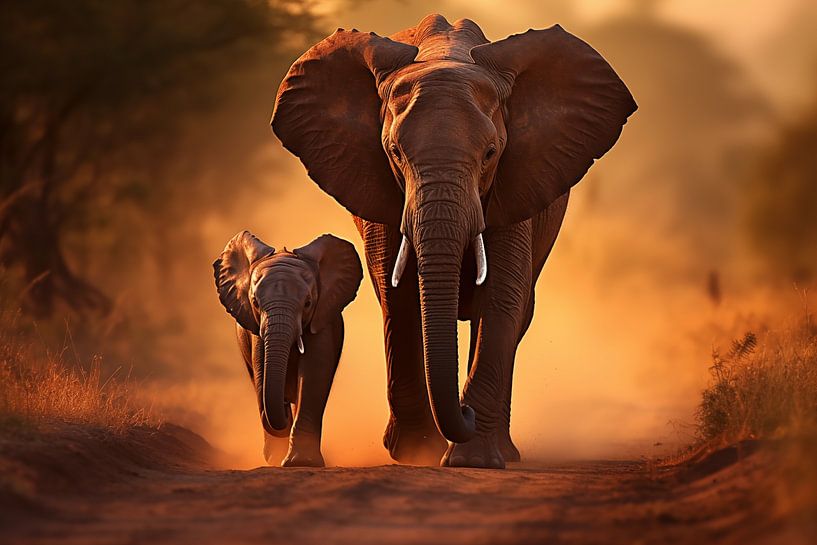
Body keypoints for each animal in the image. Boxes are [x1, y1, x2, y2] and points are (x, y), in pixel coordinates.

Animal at [213, 231, 363, 467]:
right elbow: (261, 371)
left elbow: (313, 372)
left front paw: (302, 462)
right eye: (255, 303)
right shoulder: (255, 330)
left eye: (308, 303)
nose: (283, 402)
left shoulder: (322, 319)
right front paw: (279, 459)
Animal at [271, 14, 636, 468]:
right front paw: (417, 453)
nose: (464, 413)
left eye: (491, 153)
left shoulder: (516, 182)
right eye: (394, 153)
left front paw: (472, 459)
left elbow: (501, 295)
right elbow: (399, 298)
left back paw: (504, 451)